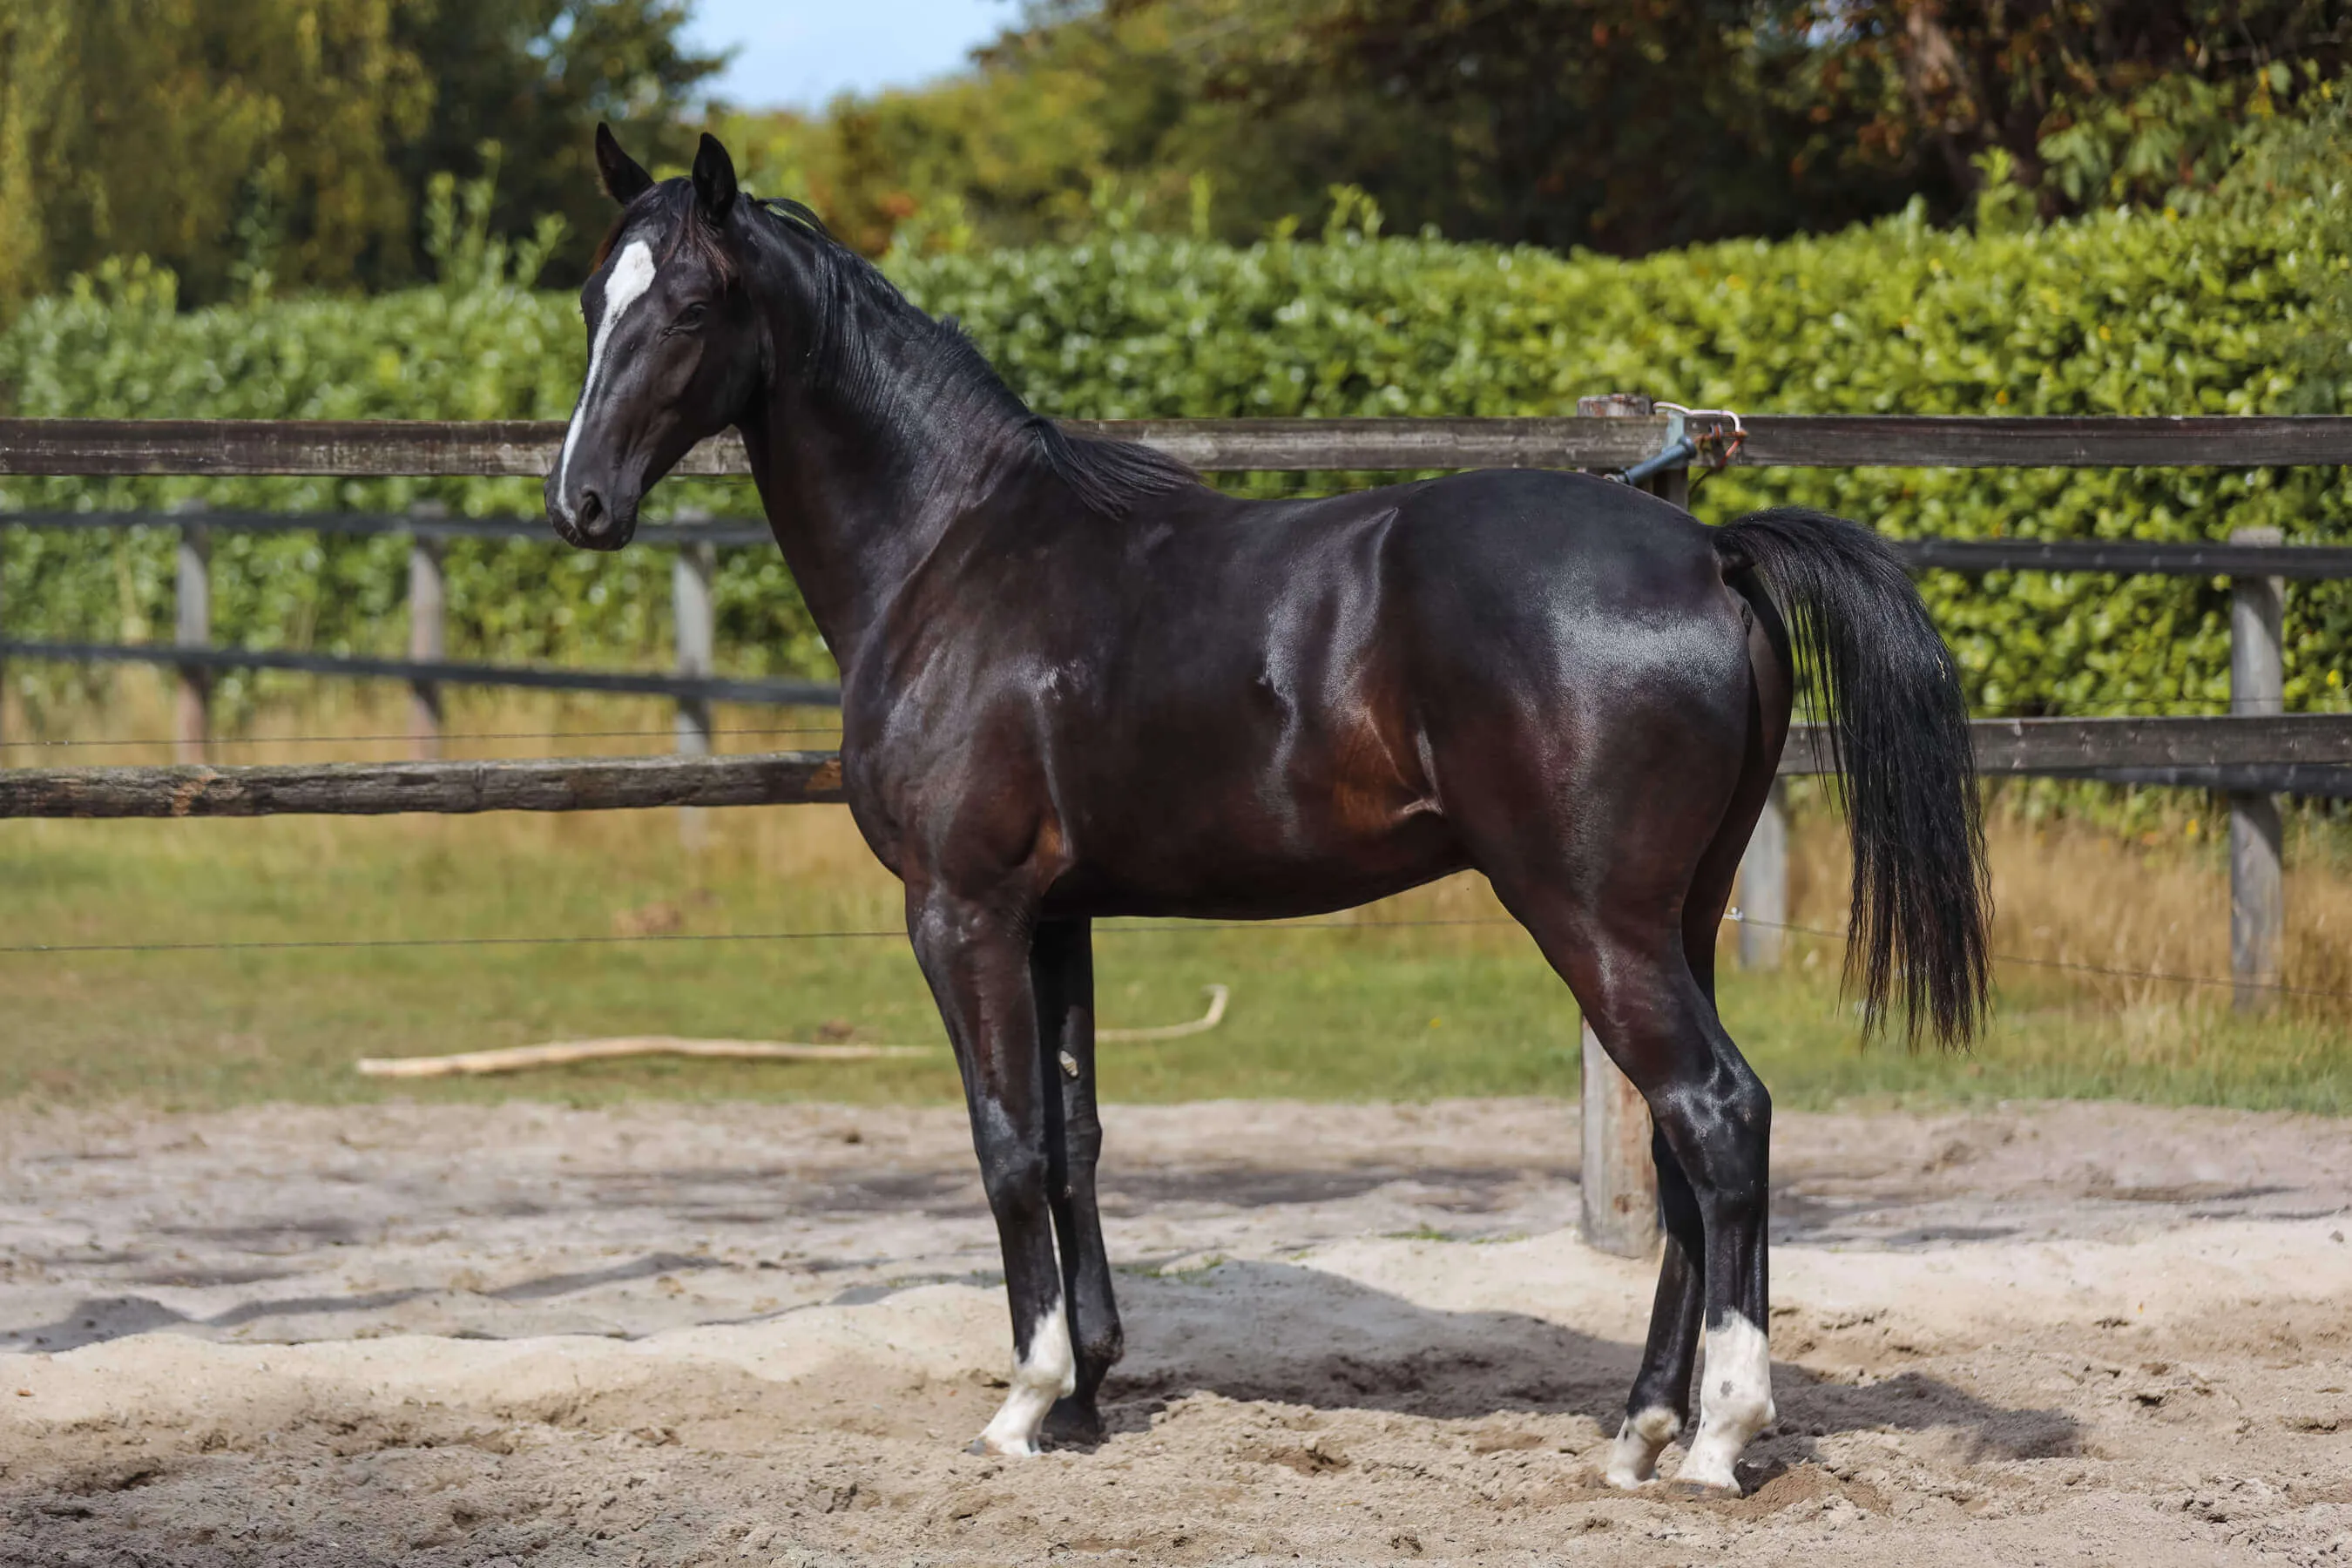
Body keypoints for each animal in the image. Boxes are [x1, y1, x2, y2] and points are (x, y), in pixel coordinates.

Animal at [545, 126, 1990, 1495]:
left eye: (688, 305)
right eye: (590, 296)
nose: (581, 503)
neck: (955, 550)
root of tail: (1708, 553)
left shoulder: (961, 913)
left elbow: (1006, 1143)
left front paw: (1023, 1406)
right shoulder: (1056, 917)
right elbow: (1073, 1139)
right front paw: (1088, 1391)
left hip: (1594, 921)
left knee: (1718, 1116)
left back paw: (1716, 1438)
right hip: (1678, 920)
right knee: (1689, 1162)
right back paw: (1640, 1430)